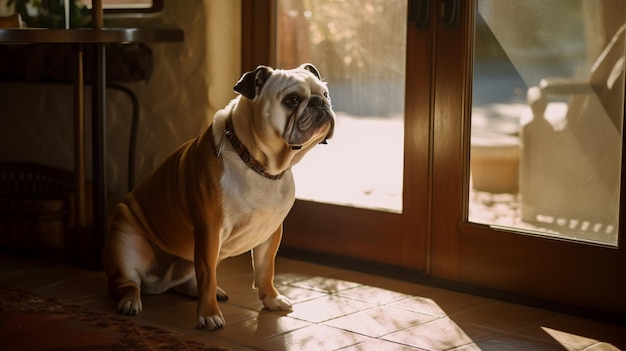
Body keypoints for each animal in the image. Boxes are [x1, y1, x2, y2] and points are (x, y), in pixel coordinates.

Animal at [102, 64, 334, 332]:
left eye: (325, 94)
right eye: (292, 100)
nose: (320, 103)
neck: (258, 164)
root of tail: (158, 284)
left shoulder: (270, 232)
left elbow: (266, 269)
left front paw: (271, 299)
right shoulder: (209, 231)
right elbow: (207, 276)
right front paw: (209, 314)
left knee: (184, 282)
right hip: (124, 241)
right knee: (127, 283)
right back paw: (130, 302)